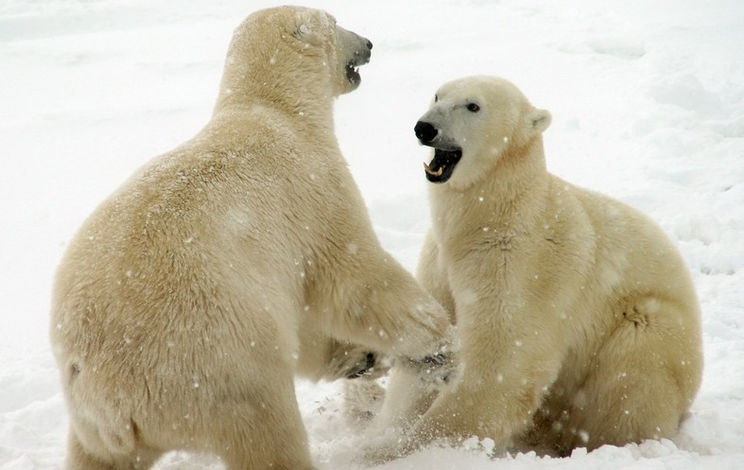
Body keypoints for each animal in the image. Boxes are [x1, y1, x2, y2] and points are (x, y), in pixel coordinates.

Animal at [49, 7, 451, 470]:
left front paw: (361, 356)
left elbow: (307, 318)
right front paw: (438, 341)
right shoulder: (315, 189)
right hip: (222, 363)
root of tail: (109, 393)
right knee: (270, 433)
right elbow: (353, 275)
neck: (275, 107)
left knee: (95, 456)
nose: (368, 43)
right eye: (335, 20)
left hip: (93, 426)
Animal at [369, 75, 703, 458]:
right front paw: (385, 434)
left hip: (651, 331)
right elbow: (429, 342)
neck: (491, 214)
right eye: (437, 95)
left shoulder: (519, 263)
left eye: (473, 105)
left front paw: (407, 448)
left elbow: (501, 363)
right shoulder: (440, 259)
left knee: (630, 377)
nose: (425, 127)